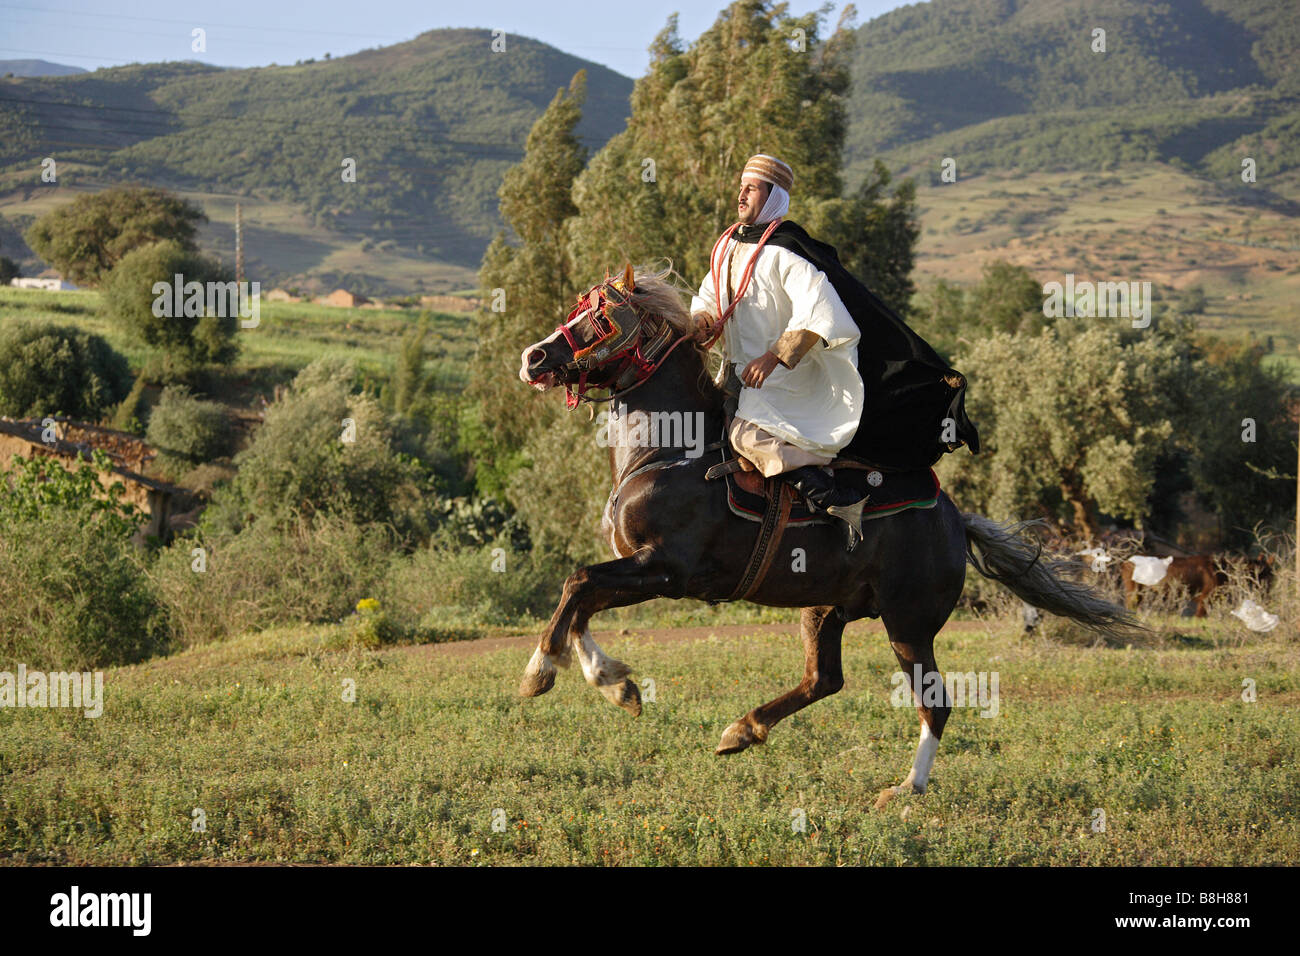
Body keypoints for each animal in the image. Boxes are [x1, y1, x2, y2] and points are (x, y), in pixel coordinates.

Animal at [512, 267, 1133, 806]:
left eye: (600, 317)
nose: (533, 357)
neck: (671, 452)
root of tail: (956, 520)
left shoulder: (666, 570)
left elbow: (577, 585)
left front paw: (541, 672)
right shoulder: (642, 568)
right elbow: (582, 600)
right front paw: (616, 684)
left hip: (908, 624)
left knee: (934, 704)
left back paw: (905, 789)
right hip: (826, 609)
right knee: (823, 679)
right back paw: (742, 730)